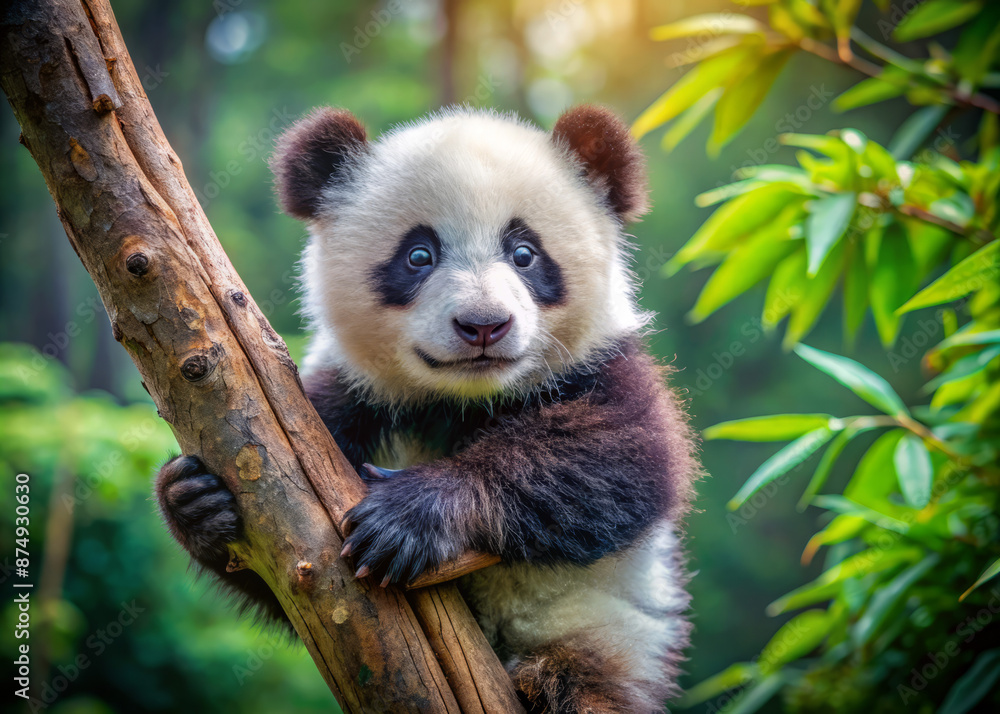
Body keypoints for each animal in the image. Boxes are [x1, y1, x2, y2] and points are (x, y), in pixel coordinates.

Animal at [155, 104, 701, 713]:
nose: (483, 325)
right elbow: (288, 574)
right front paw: (195, 500)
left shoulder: (604, 366)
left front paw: (407, 519)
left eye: (525, 254)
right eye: (419, 255)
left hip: (599, 639)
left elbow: (622, 460)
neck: (463, 399)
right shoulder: (343, 400)